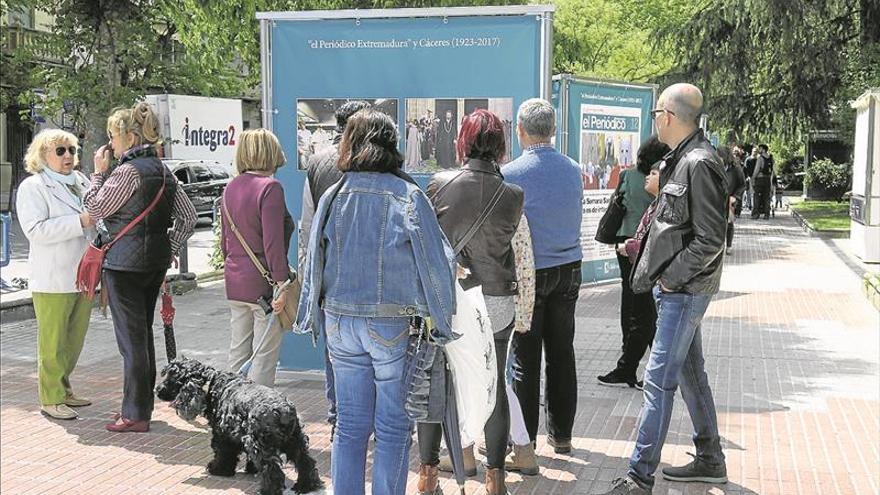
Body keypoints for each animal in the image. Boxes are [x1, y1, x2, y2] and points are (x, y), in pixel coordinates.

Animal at [156, 358, 324, 494]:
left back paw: (267, 490)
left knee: (272, 470)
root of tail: (283, 411)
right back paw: (306, 486)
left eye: (172, 378)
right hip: (295, 441)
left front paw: (218, 469)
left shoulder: (223, 435)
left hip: (261, 446)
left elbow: (222, 453)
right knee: (305, 462)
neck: (213, 385)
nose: (157, 390)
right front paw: (250, 468)